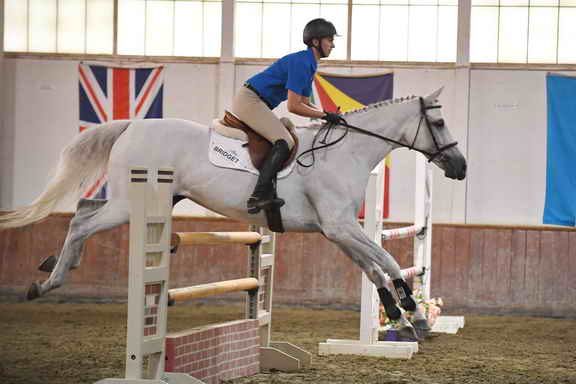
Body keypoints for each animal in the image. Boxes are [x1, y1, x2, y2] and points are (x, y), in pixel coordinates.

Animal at [2, 88, 466, 340]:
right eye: (440, 124)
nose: (460, 168)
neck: (346, 152)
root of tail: (132, 125)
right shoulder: (340, 226)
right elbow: (388, 261)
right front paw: (416, 315)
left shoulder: (336, 231)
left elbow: (373, 268)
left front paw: (400, 317)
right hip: (128, 205)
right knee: (81, 221)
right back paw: (47, 283)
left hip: (138, 201)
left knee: (83, 209)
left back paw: (51, 266)